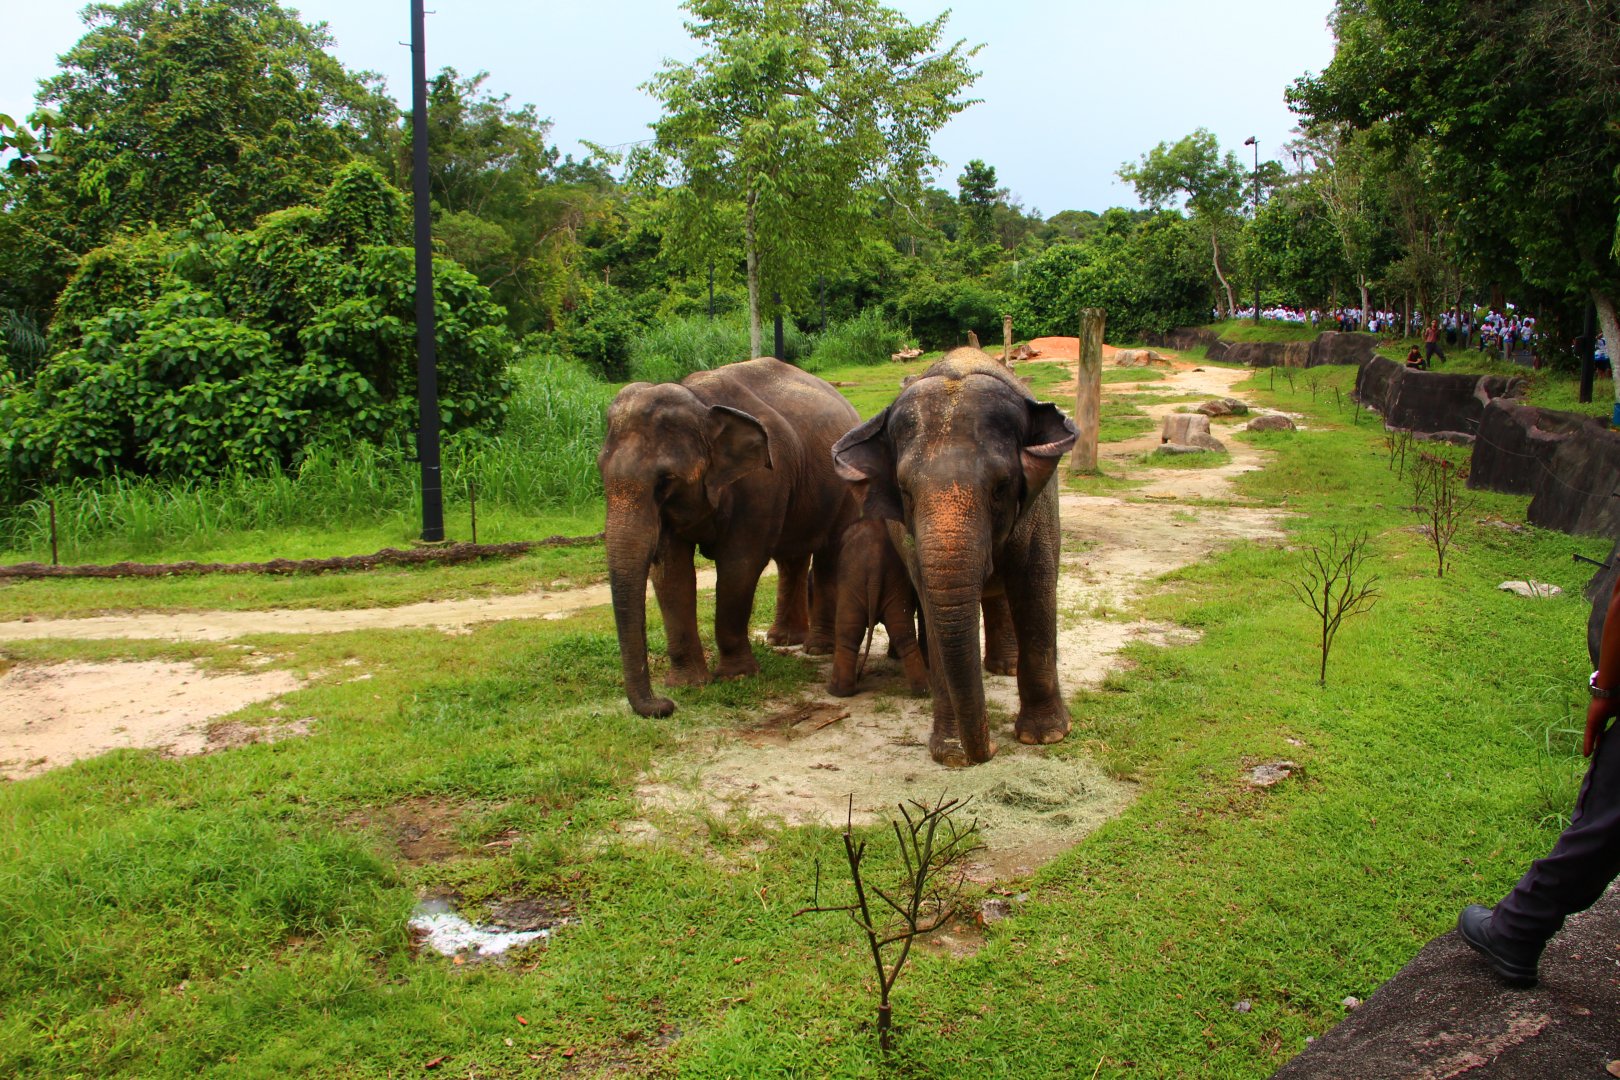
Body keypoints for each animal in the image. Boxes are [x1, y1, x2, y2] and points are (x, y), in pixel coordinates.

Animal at [599, 357, 860, 718]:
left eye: (665, 481)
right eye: (601, 473)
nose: (665, 706)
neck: (701, 403)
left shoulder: (762, 482)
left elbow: (739, 566)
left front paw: (736, 677)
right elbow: (671, 572)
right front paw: (687, 684)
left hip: (843, 490)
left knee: (827, 556)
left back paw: (817, 648)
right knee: (791, 558)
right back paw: (782, 640)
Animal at [826, 516, 929, 698]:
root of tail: (875, 565)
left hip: (854, 582)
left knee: (849, 632)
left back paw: (837, 691)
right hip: (893, 584)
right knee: (902, 632)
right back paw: (922, 691)